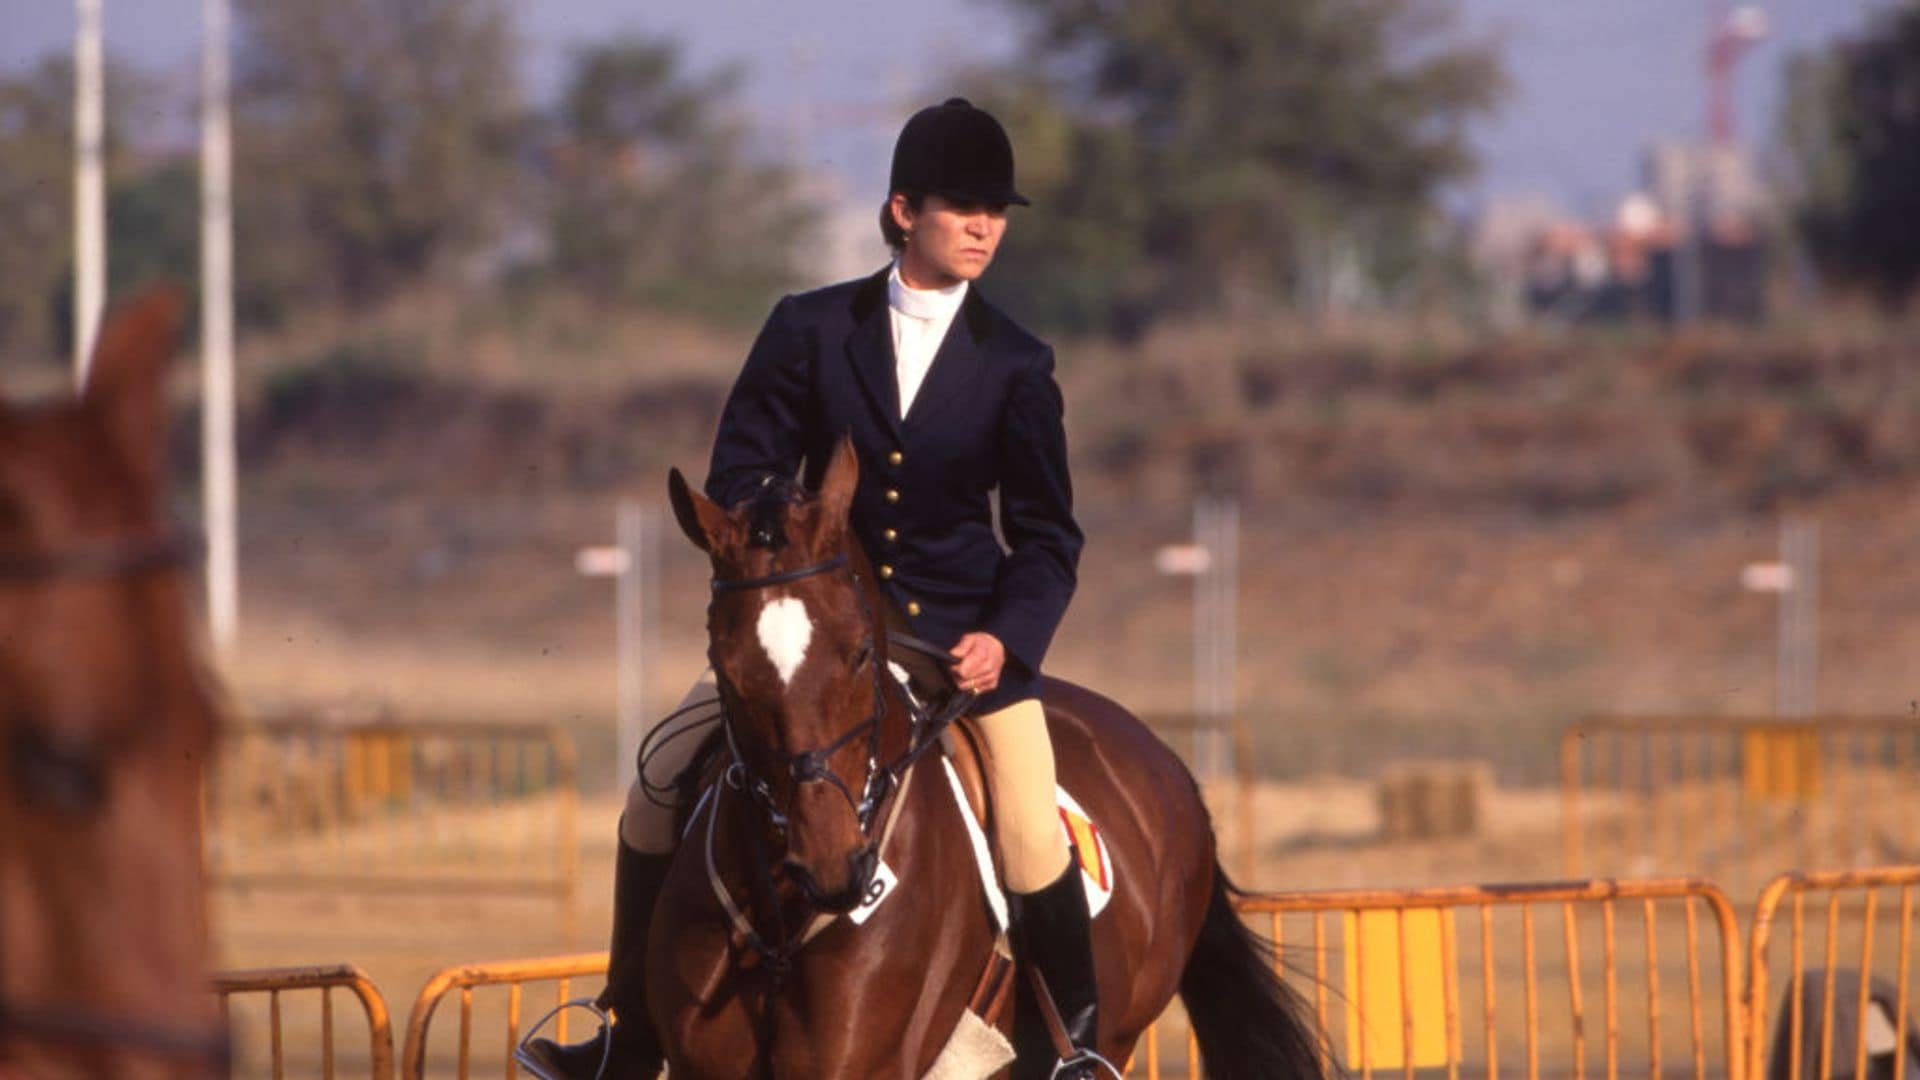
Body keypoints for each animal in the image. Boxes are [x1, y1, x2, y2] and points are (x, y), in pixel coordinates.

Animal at [652, 440, 1328, 1076]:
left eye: (861, 653)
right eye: (725, 667)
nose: (832, 870)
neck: (780, 924)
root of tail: (1169, 766)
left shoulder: (856, 1065)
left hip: (1114, 1025)